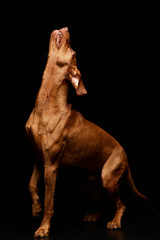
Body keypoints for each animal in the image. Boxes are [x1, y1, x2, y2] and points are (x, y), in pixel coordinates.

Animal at [25, 27, 148, 237]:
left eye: (73, 51)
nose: (66, 28)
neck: (46, 105)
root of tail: (125, 155)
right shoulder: (38, 159)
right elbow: (31, 185)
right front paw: (35, 207)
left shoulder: (51, 166)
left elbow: (50, 202)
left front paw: (43, 227)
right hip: (89, 184)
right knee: (107, 203)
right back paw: (94, 215)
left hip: (108, 177)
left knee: (121, 204)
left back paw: (115, 222)